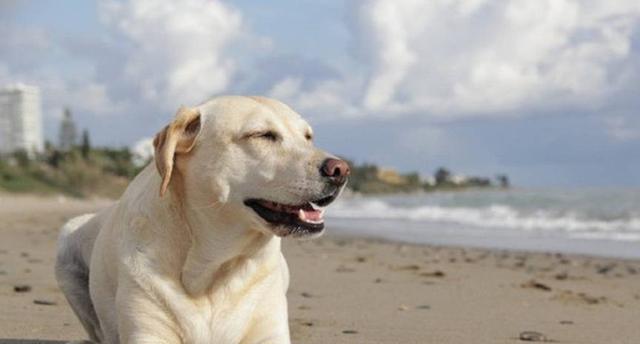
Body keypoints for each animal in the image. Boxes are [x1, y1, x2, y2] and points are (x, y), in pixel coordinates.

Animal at [55, 95, 350, 342]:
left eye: (308, 137)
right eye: (262, 135)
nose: (341, 170)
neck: (213, 270)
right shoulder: (148, 332)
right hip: (67, 241)